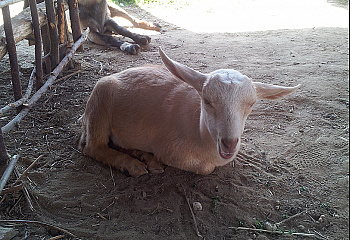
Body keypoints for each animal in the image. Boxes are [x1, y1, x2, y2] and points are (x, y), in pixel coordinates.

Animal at [78, 48, 298, 176]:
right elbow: (206, 169)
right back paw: (134, 165)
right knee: (93, 148)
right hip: (99, 101)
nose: (229, 143)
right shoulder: (170, 150)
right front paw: (154, 159)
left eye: (251, 104)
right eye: (207, 101)